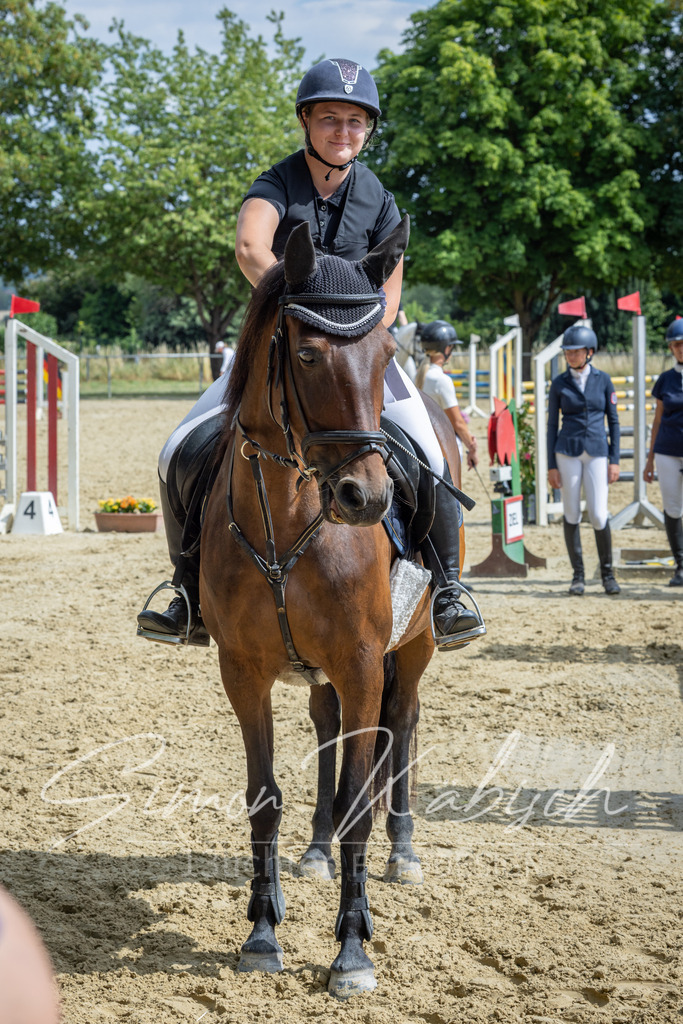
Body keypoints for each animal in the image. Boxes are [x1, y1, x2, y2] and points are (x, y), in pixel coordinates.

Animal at [199, 216, 467, 999]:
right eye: (308, 353)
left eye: (384, 354)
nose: (366, 498)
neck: (289, 524)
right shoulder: (243, 671)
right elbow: (265, 797)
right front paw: (262, 933)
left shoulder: (361, 663)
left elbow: (357, 802)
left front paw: (351, 950)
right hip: (319, 671)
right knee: (326, 732)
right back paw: (315, 851)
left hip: (414, 647)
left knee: (400, 725)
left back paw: (403, 850)